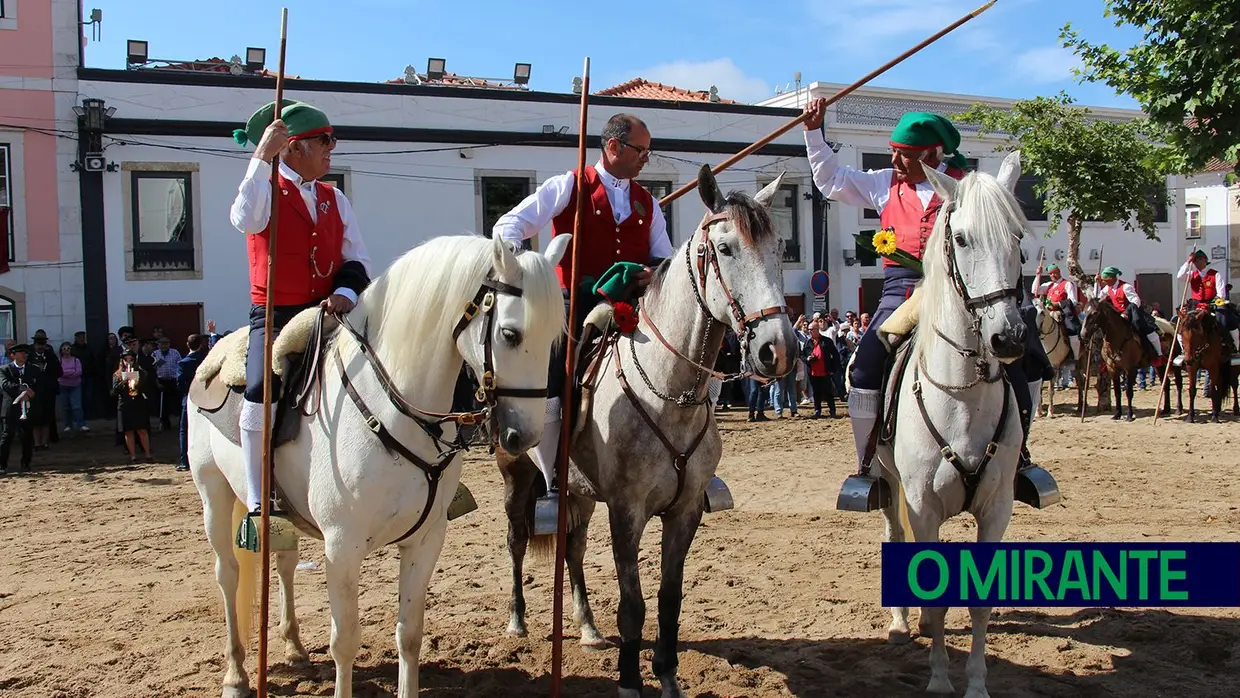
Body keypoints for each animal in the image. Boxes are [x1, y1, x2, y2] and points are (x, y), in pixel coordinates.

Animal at [186, 233, 567, 698]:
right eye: (511, 334)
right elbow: (345, 640)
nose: (523, 437)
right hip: (213, 495)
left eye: (554, 338)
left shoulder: (425, 541)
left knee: (284, 564)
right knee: (229, 574)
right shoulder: (342, 547)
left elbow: (409, 633)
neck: (392, 409)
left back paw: (294, 648)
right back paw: (237, 674)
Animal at [877, 151, 1021, 698]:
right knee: (895, 536)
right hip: (888, 483)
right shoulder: (922, 505)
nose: (1008, 337)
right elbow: (934, 592)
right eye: (961, 238)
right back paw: (902, 624)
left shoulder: (997, 508)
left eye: (1017, 236)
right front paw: (939, 679)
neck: (962, 396)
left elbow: (978, 601)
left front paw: (976, 683)